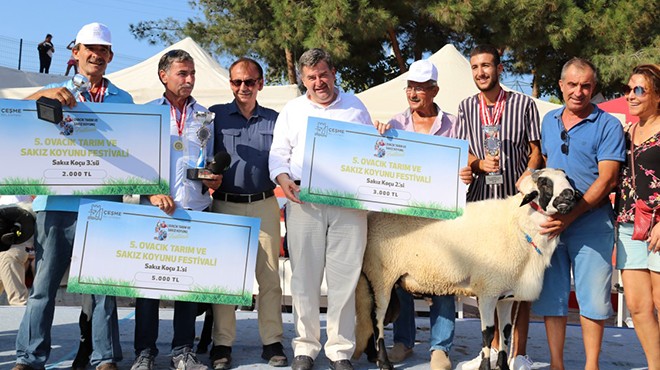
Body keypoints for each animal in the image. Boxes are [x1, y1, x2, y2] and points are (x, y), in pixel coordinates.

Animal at [354, 168, 576, 370]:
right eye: (544, 183)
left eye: (568, 178)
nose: (569, 195)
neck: (517, 225)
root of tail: (372, 216)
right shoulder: (487, 290)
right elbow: (488, 333)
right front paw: (485, 366)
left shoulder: (507, 295)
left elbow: (505, 332)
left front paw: (502, 366)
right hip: (381, 276)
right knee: (377, 319)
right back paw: (384, 362)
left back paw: (373, 356)